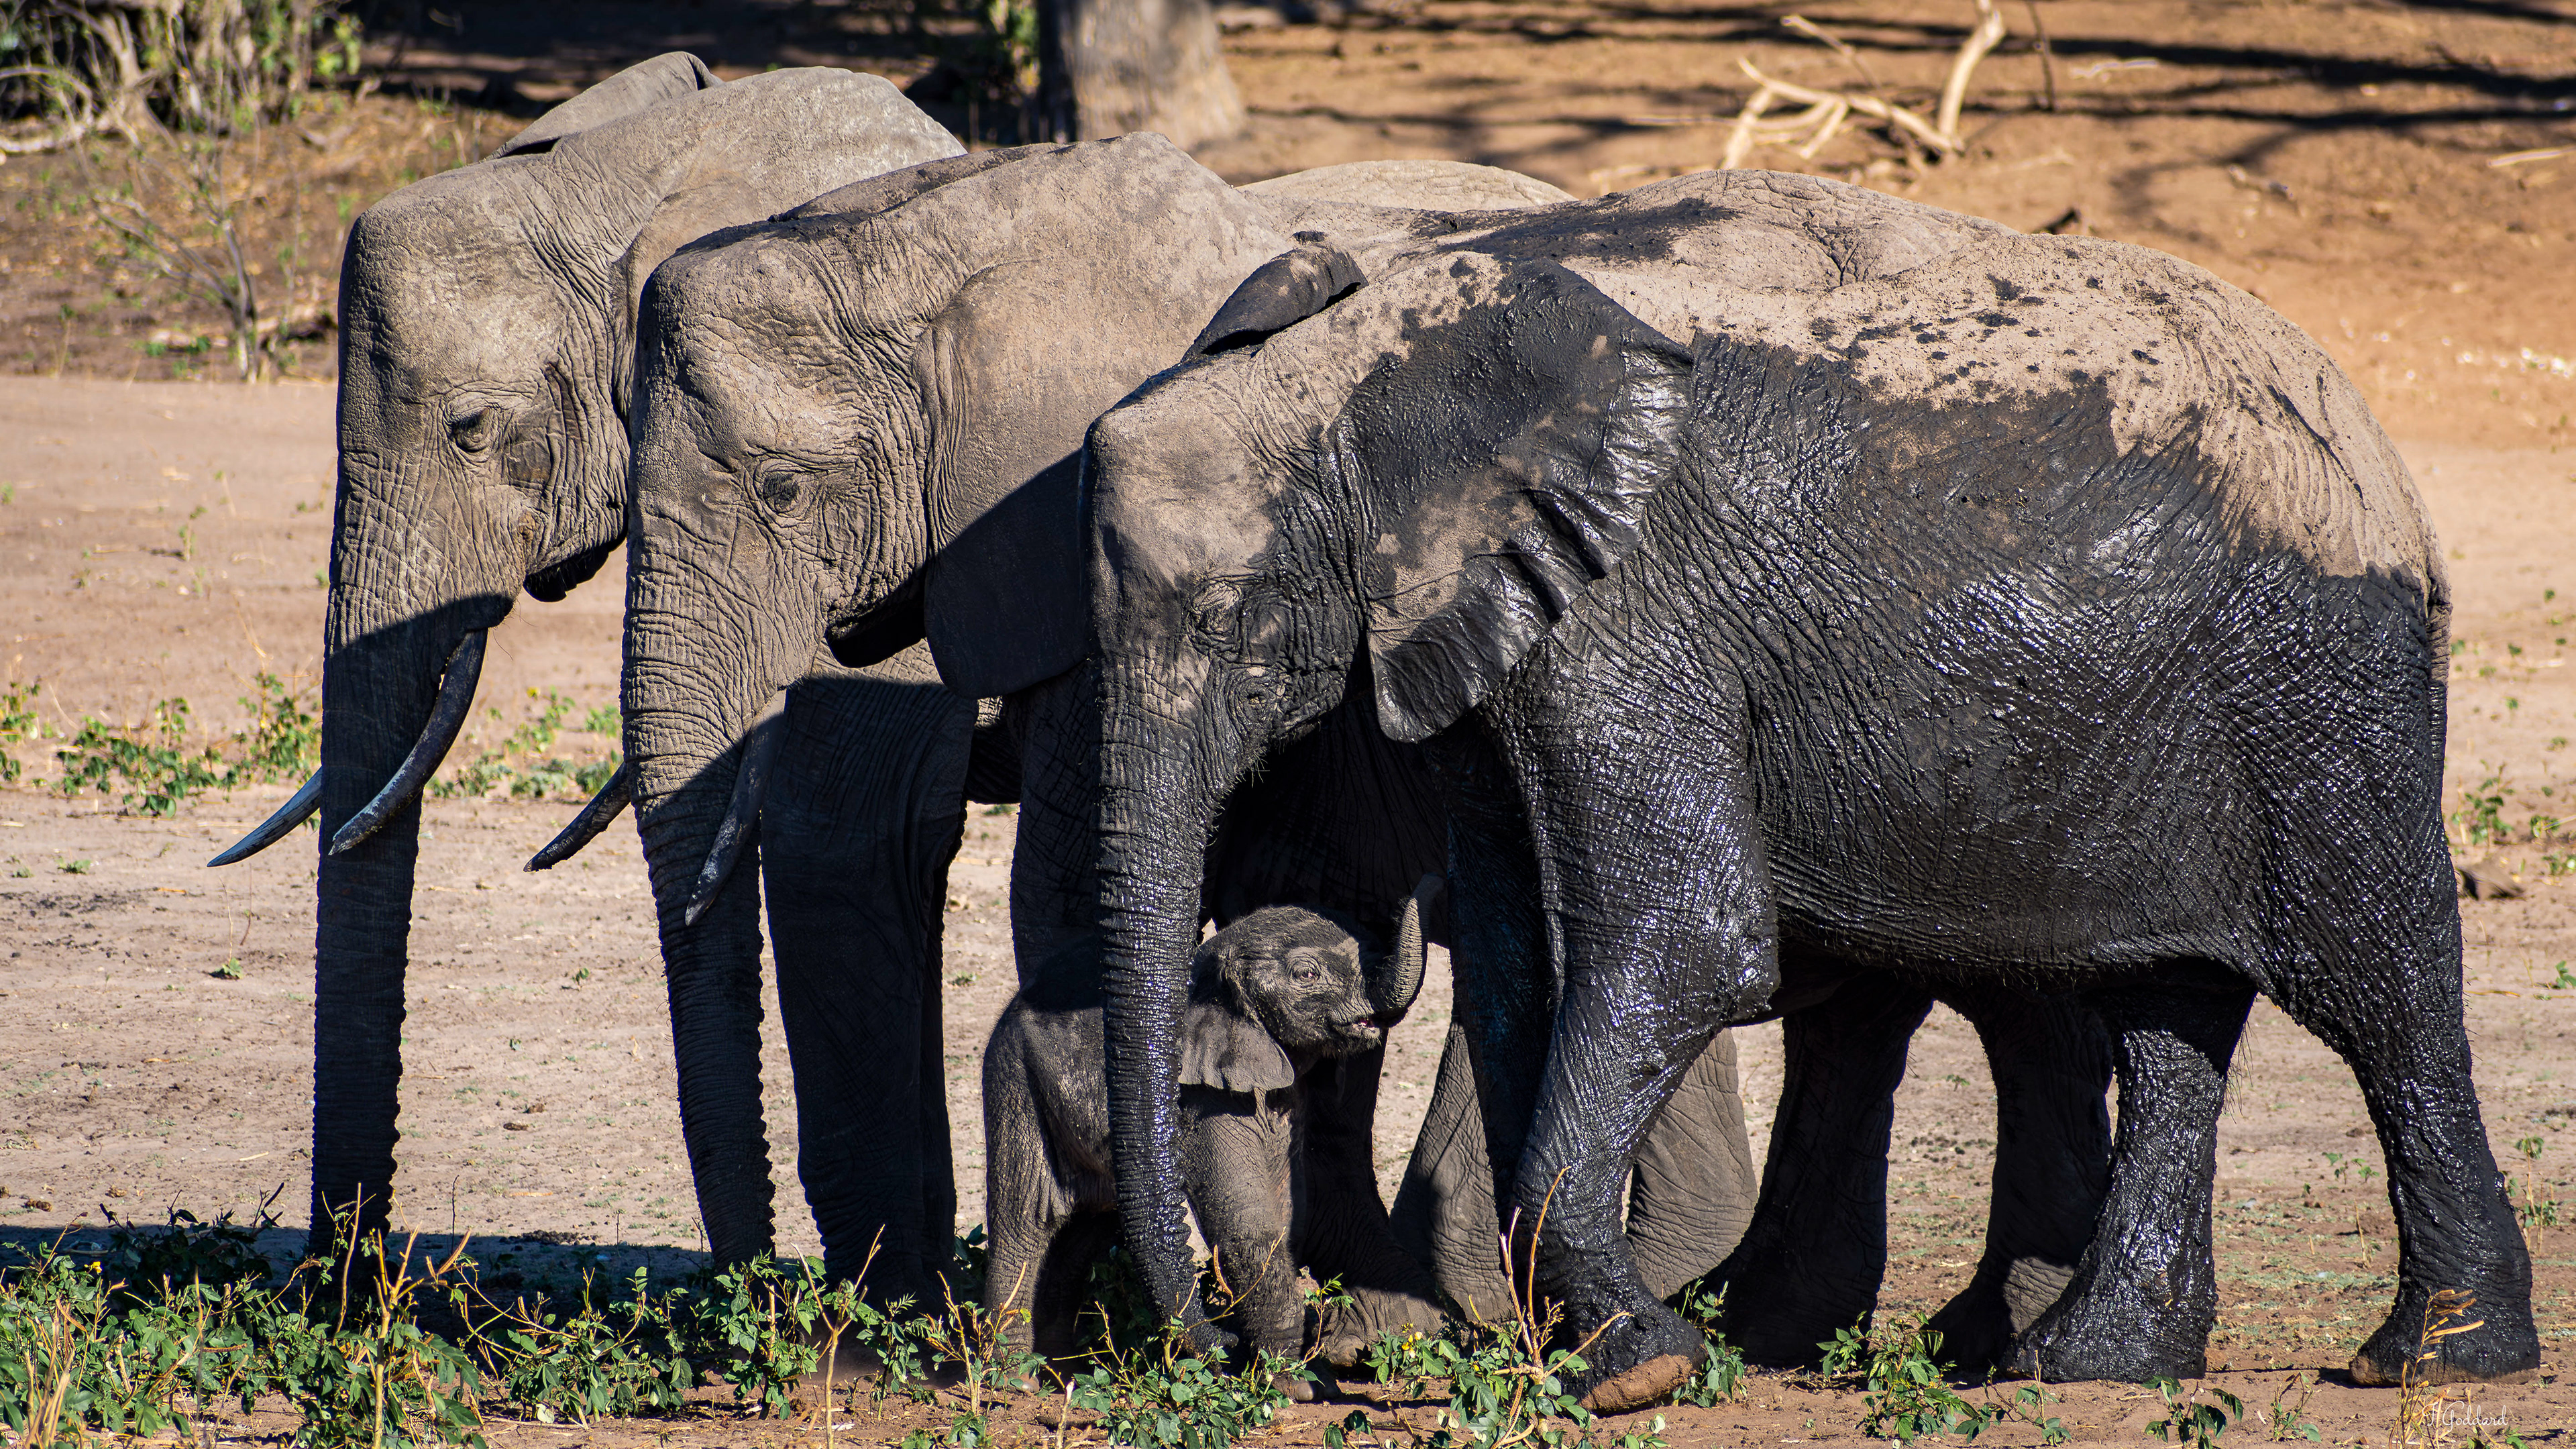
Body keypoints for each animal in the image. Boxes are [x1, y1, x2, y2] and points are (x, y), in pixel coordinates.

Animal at [983, 880, 1440, 1386]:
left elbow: (1286, 1215)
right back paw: (1013, 1379)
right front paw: (1292, 1385)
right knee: (1027, 1221)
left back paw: (1064, 1374)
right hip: (1014, 1078)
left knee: (1085, 1228)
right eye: (1306, 973)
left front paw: (1290, 1371)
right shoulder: (1203, 1099)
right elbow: (1247, 1221)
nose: (1430, 881)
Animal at [1074, 171, 2537, 1407]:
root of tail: (2384, 458)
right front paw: (1618, 1350)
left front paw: (1642, 1367)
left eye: (1247, 622)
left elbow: (1686, 944)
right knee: (2170, 1012)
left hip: (2321, 678)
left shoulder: (1630, 616)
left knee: (2379, 985)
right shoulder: (1503, 646)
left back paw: (2435, 1362)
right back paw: (2091, 1368)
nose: (1225, 1352)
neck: (1366, 362)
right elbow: (1517, 968)